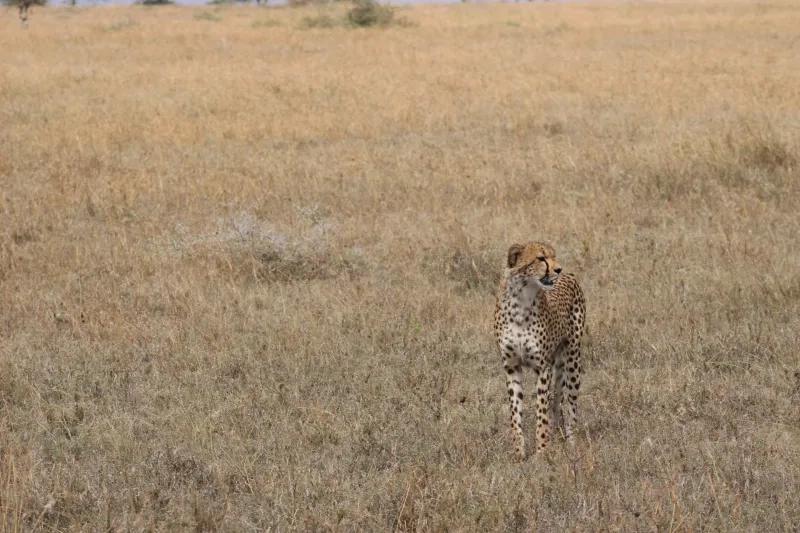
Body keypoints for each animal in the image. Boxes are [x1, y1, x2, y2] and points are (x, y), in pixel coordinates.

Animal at [493, 241, 586, 460]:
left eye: (553, 256)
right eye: (541, 258)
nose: (558, 269)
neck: (520, 301)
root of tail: (571, 276)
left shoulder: (543, 368)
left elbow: (541, 411)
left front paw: (543, 451)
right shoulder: (511, 366)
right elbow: (515, 412)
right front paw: (518, 453)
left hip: (573, 360)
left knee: (570, 404)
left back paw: (572, 444)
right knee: (558, 402)